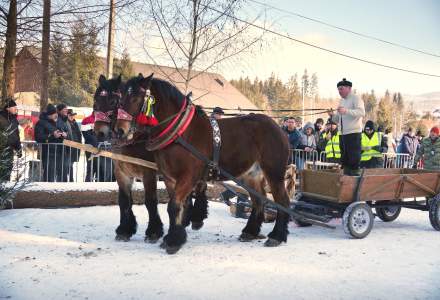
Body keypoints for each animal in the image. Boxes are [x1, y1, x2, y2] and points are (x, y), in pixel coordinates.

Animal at [92, 74, 208, 241]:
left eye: (114, 102)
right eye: (95, 100)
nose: (99, 132)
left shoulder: (148, 172)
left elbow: (150, 201)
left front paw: (154, 231)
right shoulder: (121, 171)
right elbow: (124, 200)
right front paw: (125, 229)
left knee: (199, 186)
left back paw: (197, 217)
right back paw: (185, 219)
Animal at [115, 74, 290, 254]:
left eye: (136, 98)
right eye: (120, 97)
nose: (119, 130)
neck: (180, 133)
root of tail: (277, 127)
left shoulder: (188, 177)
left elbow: (174, 205)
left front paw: (173, 241)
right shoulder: (169, 178)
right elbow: (176, 207)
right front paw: (174, 235)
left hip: (274, 172)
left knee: (282, 202)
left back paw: (276, 236)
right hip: (251, 175)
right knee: (258, 200)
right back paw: (250, 232)